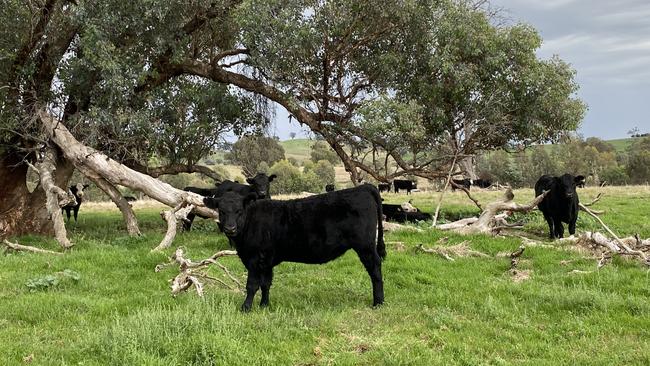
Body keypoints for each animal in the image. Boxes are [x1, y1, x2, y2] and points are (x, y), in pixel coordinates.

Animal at [204, 184, 384, 310]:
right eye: (221, 211)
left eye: (239, 211)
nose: (230, 228)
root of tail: (364, 187)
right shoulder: (267, 260)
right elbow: (266, 284)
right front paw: (264, 305)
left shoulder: (254, 259)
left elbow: (252, 285)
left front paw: (245, 308)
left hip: (365, 246)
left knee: (375, 270)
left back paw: (378, 302)